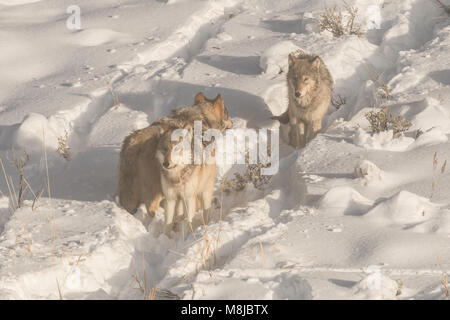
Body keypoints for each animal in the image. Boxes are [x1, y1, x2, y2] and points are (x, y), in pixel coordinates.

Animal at [118, 92, 230, 220]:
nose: (232, 122)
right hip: (156, 191)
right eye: (227, 114)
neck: (203, 118)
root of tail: (133, 142)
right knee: (152, 209)